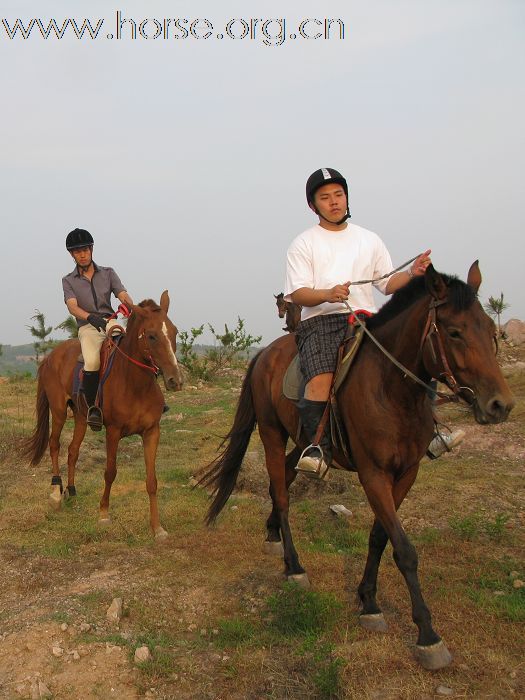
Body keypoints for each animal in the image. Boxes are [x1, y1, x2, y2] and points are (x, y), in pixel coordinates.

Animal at [22, 290, 182, 540]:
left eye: (174, 332)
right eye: (152, 336)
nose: (175, 380)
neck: (135, 384)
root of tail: (51, 356)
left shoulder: (152, 432)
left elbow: (152, 480)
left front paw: (157, 528)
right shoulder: (113, 432)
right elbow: (110, 472)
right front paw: (104, 513)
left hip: (80, 417)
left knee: (73, 451)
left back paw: (72, 491)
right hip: (58, 412)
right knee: (55, 444)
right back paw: (56, 493)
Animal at [201, 266, 512, 668]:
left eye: (491, 330)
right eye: (455, 331)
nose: (500, 405)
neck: (391, 390)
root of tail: (266, 353)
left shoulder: (406, 474)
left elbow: (381, 536)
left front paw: (368, 601)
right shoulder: (373, 474)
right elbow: (405, 550)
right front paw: (428, 636)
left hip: (302, 441)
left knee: (281, 478)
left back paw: (273, 536)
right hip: (271, 431)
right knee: (282, 494)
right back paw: (294, 566)